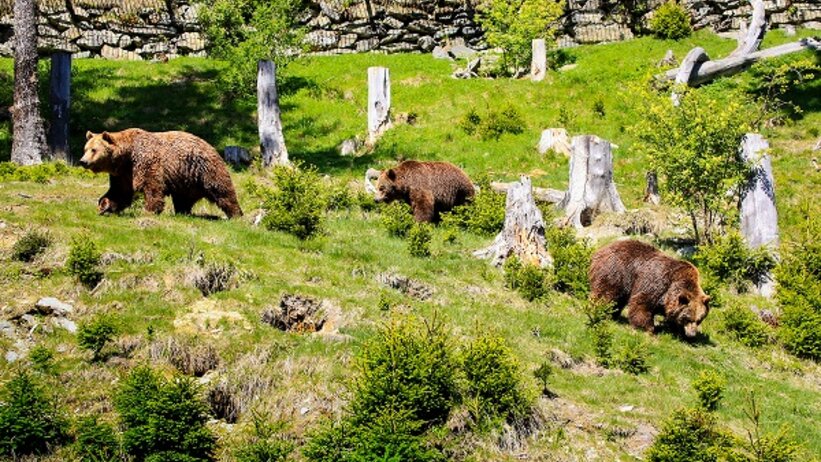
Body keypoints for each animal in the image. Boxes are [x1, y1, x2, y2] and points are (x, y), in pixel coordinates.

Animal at [80, 129, 242, 219]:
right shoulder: (122, 174)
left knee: (222, 191)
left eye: (94, 150)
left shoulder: (146, 162)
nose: (83, 161)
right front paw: (104, 205)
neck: (126, 157)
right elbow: (120, 192)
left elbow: (152, 187)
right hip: (185, 182)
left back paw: (236, 215)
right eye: (85, 148)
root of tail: (211, 146)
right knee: (183, 199)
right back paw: (182, 212)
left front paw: (149, 211)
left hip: (205, 170)